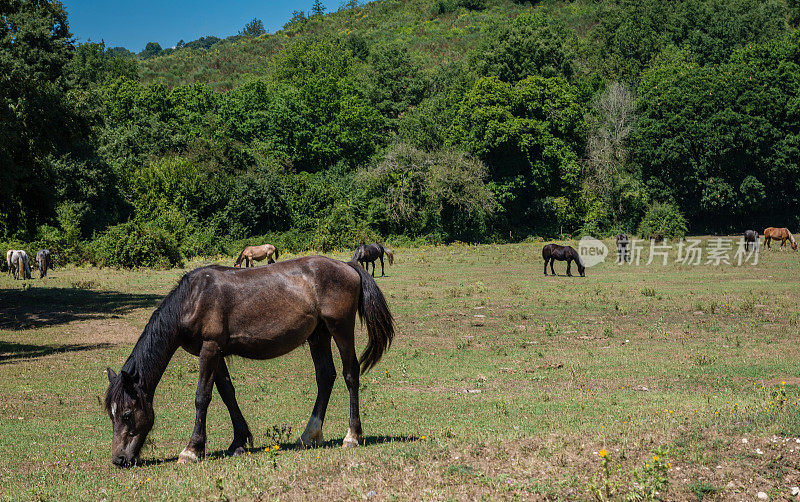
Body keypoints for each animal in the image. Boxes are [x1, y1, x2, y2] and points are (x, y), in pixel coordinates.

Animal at [106, 256, 394, 468]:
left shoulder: (210, 349)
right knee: (325, 377)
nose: (119, 459)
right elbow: (227, 393)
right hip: (319, 335)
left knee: (350, 374)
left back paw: (352, 436)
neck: (192, 299)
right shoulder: (216, 352)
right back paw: (309, 436)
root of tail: (348, 266)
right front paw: (239, 442)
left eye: (127, 414)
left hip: (341, 329)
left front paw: (192, 449)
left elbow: (202, 397)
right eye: (111, 415)